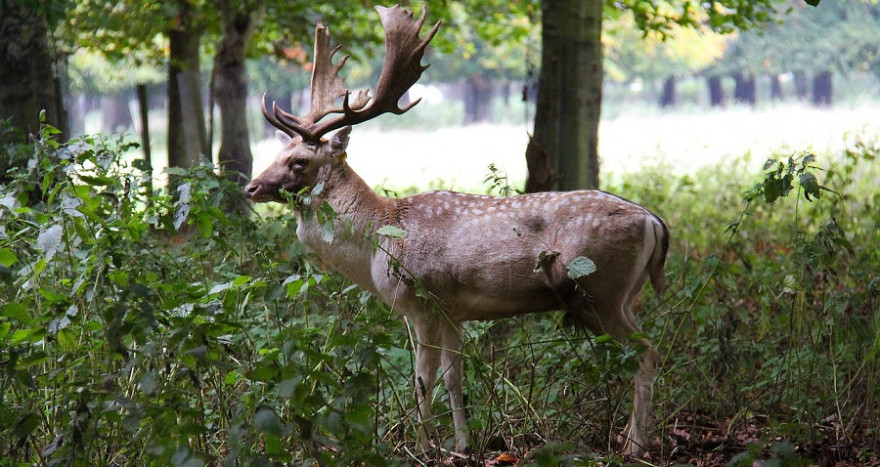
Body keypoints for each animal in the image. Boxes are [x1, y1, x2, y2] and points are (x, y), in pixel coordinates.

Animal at [244, 3, 672, 458]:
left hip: (597, 287)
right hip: (624, 294)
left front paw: (421, 445)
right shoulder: (452, 311)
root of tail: (653, 221)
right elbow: (453, 378)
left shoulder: (423, 301)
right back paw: (629, 438)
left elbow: (421, 380)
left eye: (300, 161)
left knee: (647, 353)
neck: (378, 239)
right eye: (279, 152)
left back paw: (635, 446)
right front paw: (462, 444)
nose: (251, 187)